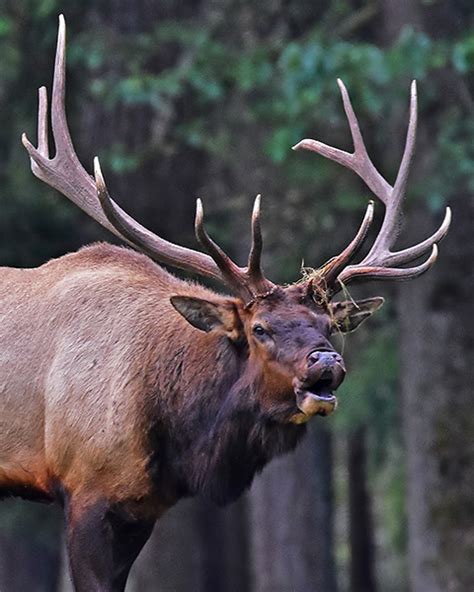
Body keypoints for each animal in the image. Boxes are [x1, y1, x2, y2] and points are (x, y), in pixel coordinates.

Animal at [0, 15, 452, 592]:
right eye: (259, 329)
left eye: (328, 325)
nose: (326, 361)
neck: (178, 439)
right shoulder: (85, 488)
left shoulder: (140, 508)